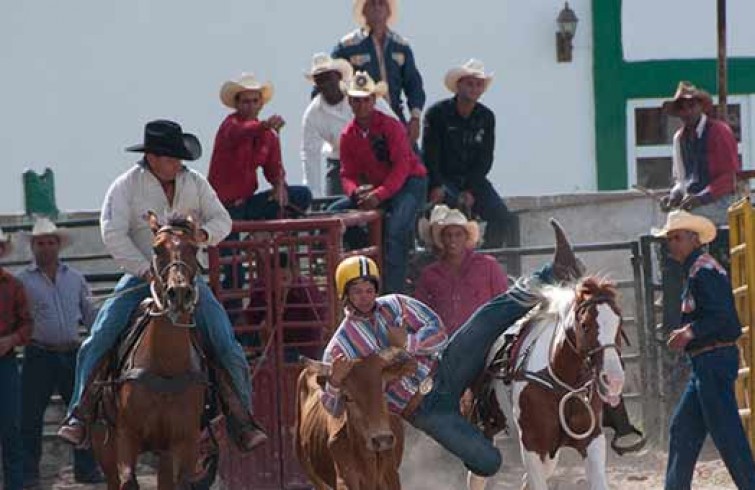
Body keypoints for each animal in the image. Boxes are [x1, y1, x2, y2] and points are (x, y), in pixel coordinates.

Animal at [93, 212, 208, 488]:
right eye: (156, 249)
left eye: (194, 247)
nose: (179, 293)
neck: (165, 365)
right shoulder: (126, 437)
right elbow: (128, 481)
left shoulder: (186, 442)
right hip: (103, 445)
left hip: (164, 452)